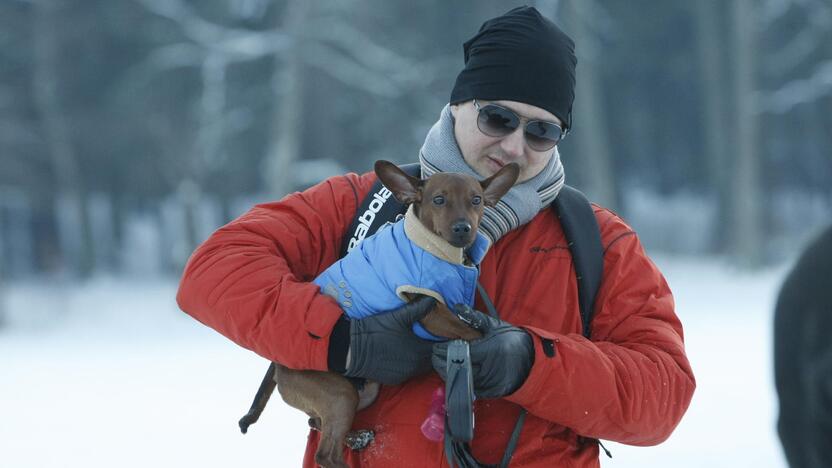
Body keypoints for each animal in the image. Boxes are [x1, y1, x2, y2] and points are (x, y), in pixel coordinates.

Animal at [237, 161, 516, 468]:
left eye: (476, 200)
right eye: (439, 200)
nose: (463, 228)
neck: (436, 249)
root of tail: (277, 366)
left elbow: (470, 321)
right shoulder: (430, 312)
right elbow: (471, 331)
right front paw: (494, 343)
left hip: (364, 392)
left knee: (316, 422)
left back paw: (357, 437)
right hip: (339, 394)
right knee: (326, 453)